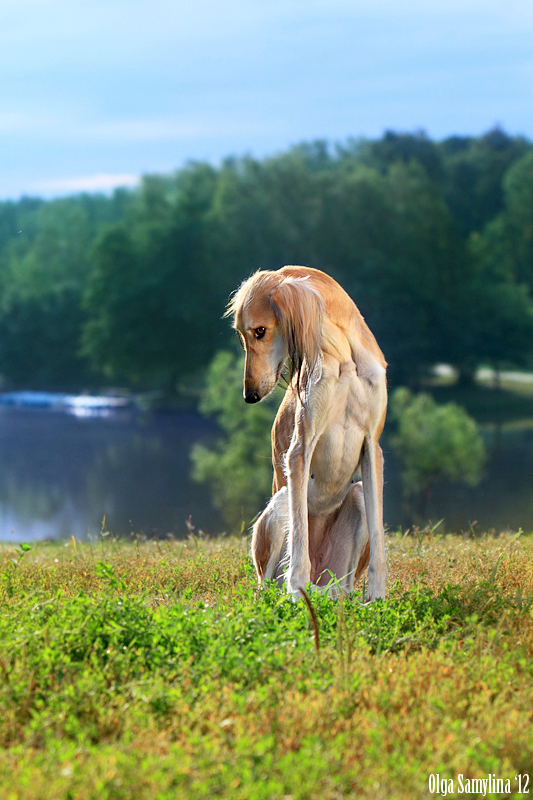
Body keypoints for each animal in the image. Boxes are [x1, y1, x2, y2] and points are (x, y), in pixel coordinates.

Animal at [228, 266, 386, 596]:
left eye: (259, 330)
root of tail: (323, 585)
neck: (344, 356)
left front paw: (378, 598)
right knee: (270, 579)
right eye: (242, 334)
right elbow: (299, 544)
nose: (250, 395)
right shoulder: (300, 449)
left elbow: (380, 544)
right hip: (280, 504)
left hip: (355, 506)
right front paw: (295, 595)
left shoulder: (372, 446)